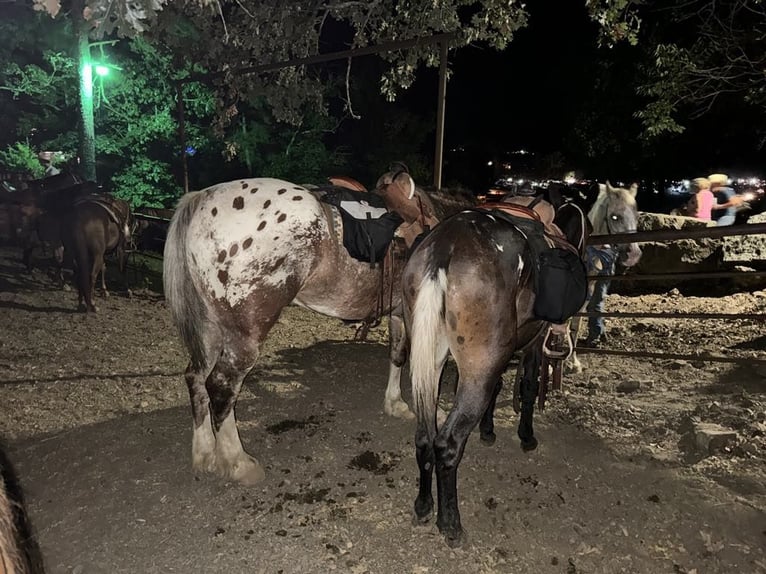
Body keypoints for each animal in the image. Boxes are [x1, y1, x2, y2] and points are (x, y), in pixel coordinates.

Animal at [404, 195, 592, 548]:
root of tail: (445, 246)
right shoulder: (532, 342)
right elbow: (528, 386)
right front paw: (526, 436)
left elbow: (500, 386)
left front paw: (488, 430)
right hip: (479, 368)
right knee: (446, 444)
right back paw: (450, 524)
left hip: (433, 364)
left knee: (424, 437)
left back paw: (423, 506)